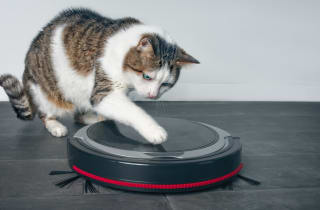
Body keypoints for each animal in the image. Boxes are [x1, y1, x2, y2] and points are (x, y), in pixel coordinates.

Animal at [0, 7, 199, 144]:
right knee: (46, 114)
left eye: (165, 84)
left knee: (79, 115)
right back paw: (56, 126)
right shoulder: (104, 92)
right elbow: (133, 111)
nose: (153, 95)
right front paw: (154, 131)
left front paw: (104, 121)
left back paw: (91, 118)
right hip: (46, 93)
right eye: (147, 77)